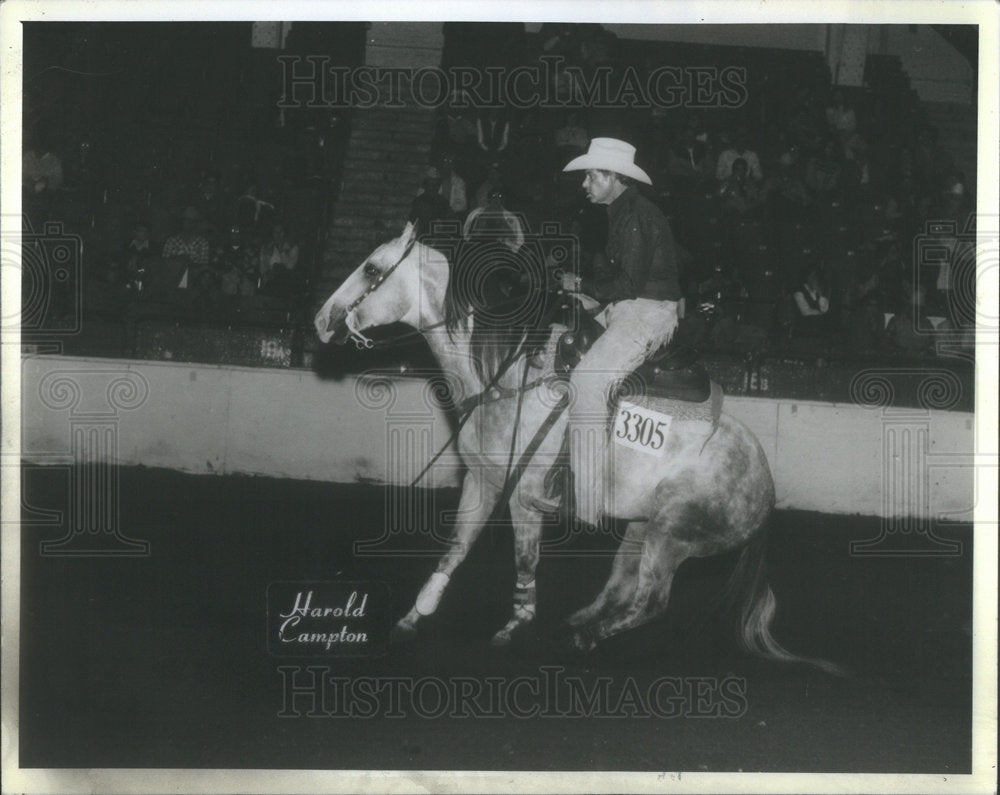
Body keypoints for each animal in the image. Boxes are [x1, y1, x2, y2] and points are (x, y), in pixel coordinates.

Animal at [316, 222, 840, 672]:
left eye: (372, 269)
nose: (322, 320)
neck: (504, 375)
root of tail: (766, 488)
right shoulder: (482, 482)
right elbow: (455, 551)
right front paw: (413, 616)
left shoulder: (523, 495)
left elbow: (524, 561)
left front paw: (515, 625)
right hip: (640, 528)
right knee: (620, 586)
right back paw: (580, 621)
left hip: (671, 537)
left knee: (650, 602)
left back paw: (584, 638)